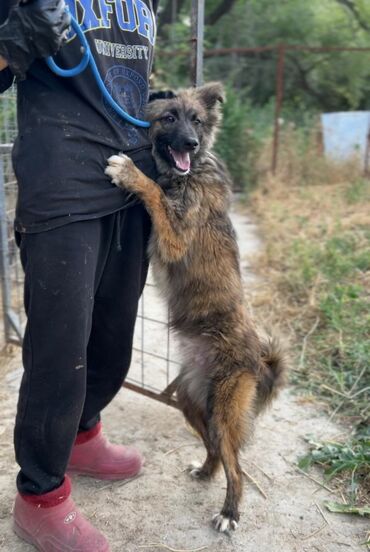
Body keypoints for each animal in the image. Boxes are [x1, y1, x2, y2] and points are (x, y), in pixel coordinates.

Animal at [105, 83, 286, 536]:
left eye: (198, 122)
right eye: (169, 117)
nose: (190, 143)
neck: (190, 173)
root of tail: (258, 359)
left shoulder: (173, 237)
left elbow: (152, 192)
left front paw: (131, 174)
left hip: (223, 412)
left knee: (237, 467)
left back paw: (229, 512)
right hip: (191, 402)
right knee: (218, 453)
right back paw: (205, 472)